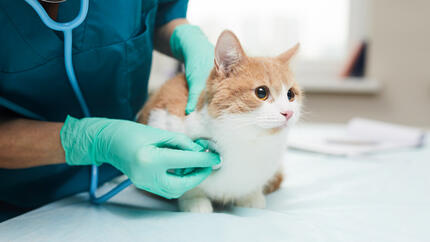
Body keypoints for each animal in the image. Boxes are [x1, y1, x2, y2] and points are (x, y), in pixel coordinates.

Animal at [138, 29, 302, 212]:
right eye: (261, 92)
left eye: (290, 94)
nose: (288, 112)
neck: (245, 141)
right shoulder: (164, 120)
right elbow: (187, 186)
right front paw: (195, 201)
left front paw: (251, 196)